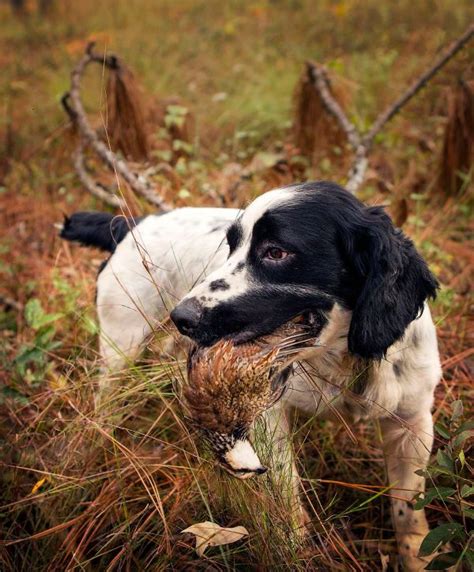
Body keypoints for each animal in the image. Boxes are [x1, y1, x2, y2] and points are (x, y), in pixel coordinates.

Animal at [61, 181, 442, 568]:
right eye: (229, 247)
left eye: (276, 252)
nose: (182, 316)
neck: (342, 358)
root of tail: (132, 224)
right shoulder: (269, 416)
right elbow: (286, 489)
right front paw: (295, 548)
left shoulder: (412, 422)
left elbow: (409, 510)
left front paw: (419, 560)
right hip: (119, 349)